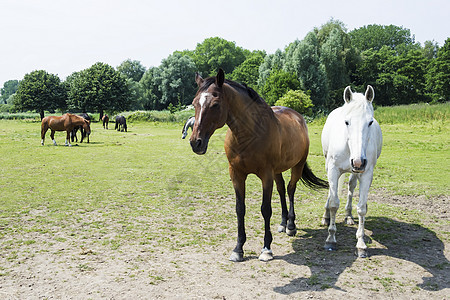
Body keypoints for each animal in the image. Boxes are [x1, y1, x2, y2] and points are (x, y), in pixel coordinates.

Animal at [188, 69, 328, 262]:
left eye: (215, 104)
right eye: (194, 103)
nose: (196, 142)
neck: (249, 134)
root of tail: (298, 117)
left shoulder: (266, 175)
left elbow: (265, 209)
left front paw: (266, 248)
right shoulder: (237, 174)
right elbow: (240, 209)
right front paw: (238, 249)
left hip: (297, 166)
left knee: (291, 189)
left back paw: (291, 225)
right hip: (278, 171)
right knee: (282, 189)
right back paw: (283, 223)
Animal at [322, 85, 382, 258]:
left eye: (370, 122)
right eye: (346, 122)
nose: (358, 161)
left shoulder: (366, 173)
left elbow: (361, 208)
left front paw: (361, 244)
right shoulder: (333, 170)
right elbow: (334, 203)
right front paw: (331, 239)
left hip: (356, 171)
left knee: (351, 186)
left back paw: (348, 215)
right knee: (331, 192)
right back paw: (326, 216)